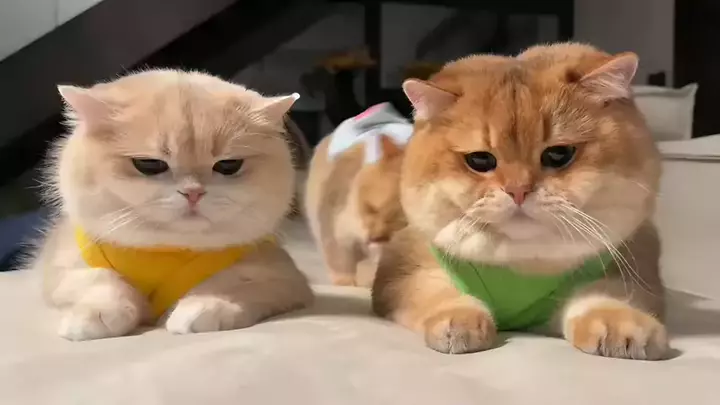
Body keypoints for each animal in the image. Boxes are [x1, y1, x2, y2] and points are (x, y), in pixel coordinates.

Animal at [33, 69, 313, 341]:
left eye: (229, 165)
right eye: (149, 165)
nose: (193, 193)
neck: (168, 249)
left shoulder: (283, 277)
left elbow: (232, 285)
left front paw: (206, 305)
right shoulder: (63, 270)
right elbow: (102, 281)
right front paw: (95, 315)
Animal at [305, 103, 410, 287]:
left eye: (402, 224)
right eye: (371, 208)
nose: (373, 237)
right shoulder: (334, 220)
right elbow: (340, 260)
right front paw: (346, 281)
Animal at [372, 43, 668, 360]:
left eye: (559, 154)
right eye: (480, 160)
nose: (518, 191)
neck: (521, 264)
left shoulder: (631, 266)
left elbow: (603, 297)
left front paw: (622, 326)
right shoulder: (404, 269)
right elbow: (437, 293)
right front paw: (458, 319)